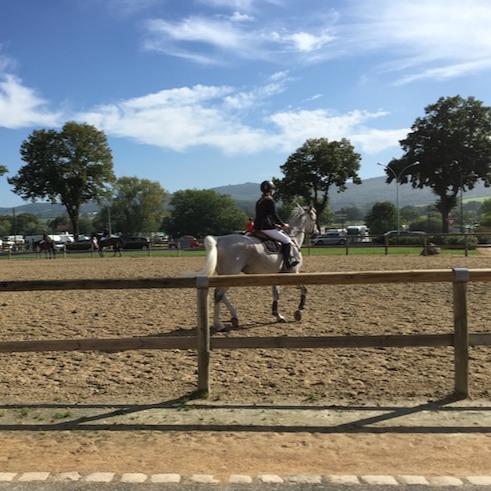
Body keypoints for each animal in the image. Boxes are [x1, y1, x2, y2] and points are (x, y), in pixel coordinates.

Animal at [184, 204, 320, 330]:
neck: (292, 238)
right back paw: (220, 325)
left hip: (226, 275)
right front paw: (299, 310)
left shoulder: (276, 275)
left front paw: (278, 315)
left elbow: (276, 294)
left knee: (221, 295)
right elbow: (304, 289)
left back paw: (234, 317)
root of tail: (219, 240)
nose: (316, 233)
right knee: (218, 294)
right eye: (314, 217)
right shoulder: (293, 272)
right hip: (231, 273)